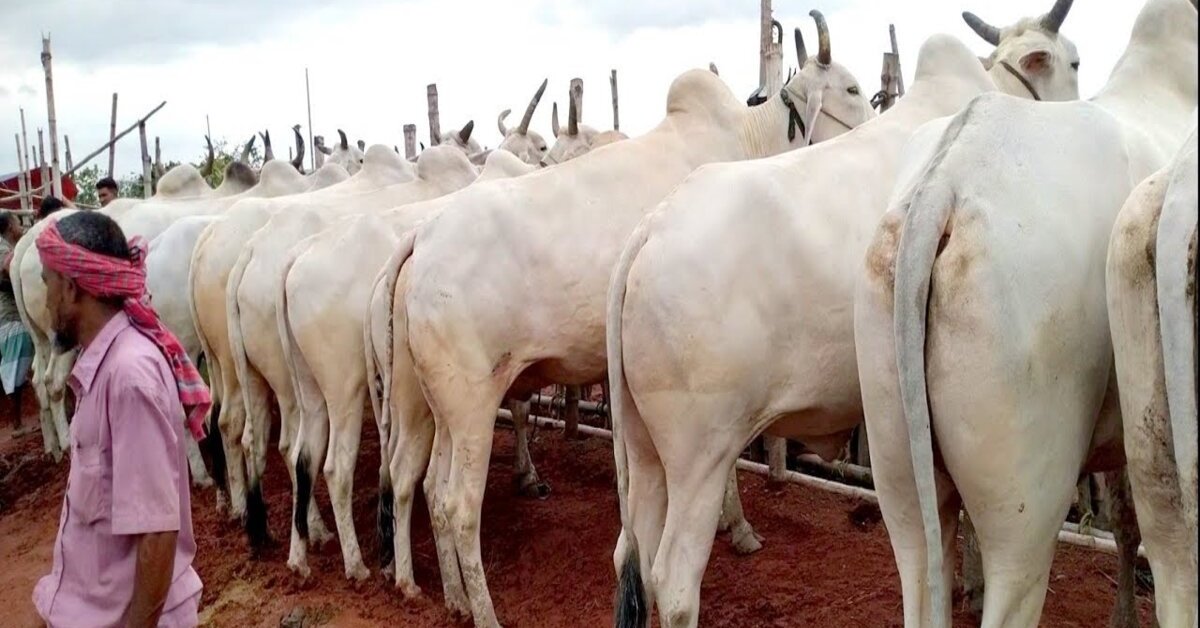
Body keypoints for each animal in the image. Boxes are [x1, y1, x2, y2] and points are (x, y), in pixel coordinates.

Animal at [374, 13, 873, 625]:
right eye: (851, 89)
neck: (751, 139)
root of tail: (423, 236)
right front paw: (739, 528)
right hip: (471, 404)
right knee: (457, 504)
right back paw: (483, 611)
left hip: (428, 402)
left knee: (418, 484)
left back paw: (436, 592)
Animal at [604, 5, 1084, 625]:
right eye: (1073, 63)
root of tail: (649, 229)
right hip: (699, 456)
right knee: (673, 581)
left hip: (644, 449)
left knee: (629, 553)